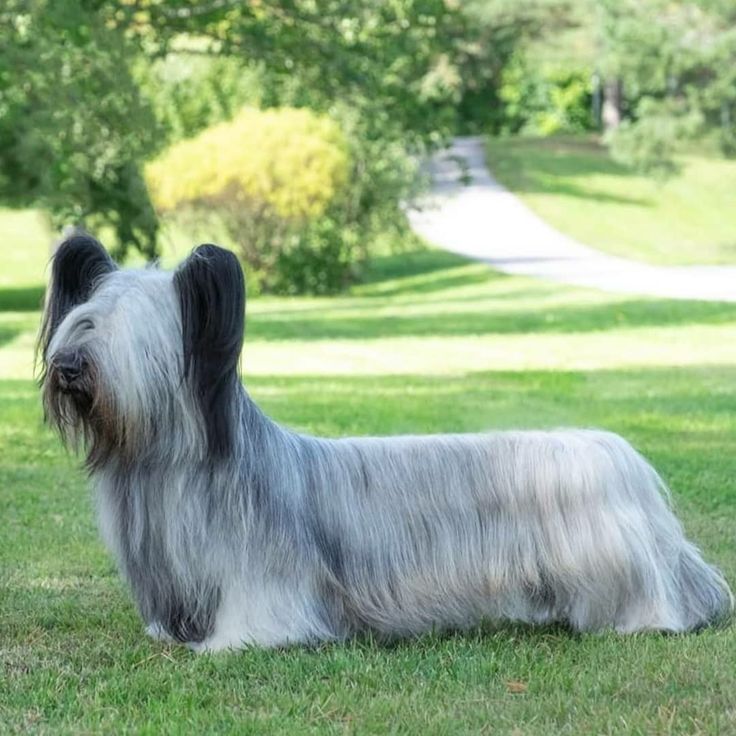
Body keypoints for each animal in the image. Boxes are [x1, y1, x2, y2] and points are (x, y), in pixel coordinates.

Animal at [38, 234, 732, 648]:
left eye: (127, 333)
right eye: (82, 320)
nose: (67, 365)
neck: (167, 462)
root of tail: (616, 453)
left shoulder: (264, 574)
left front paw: (233, 644)